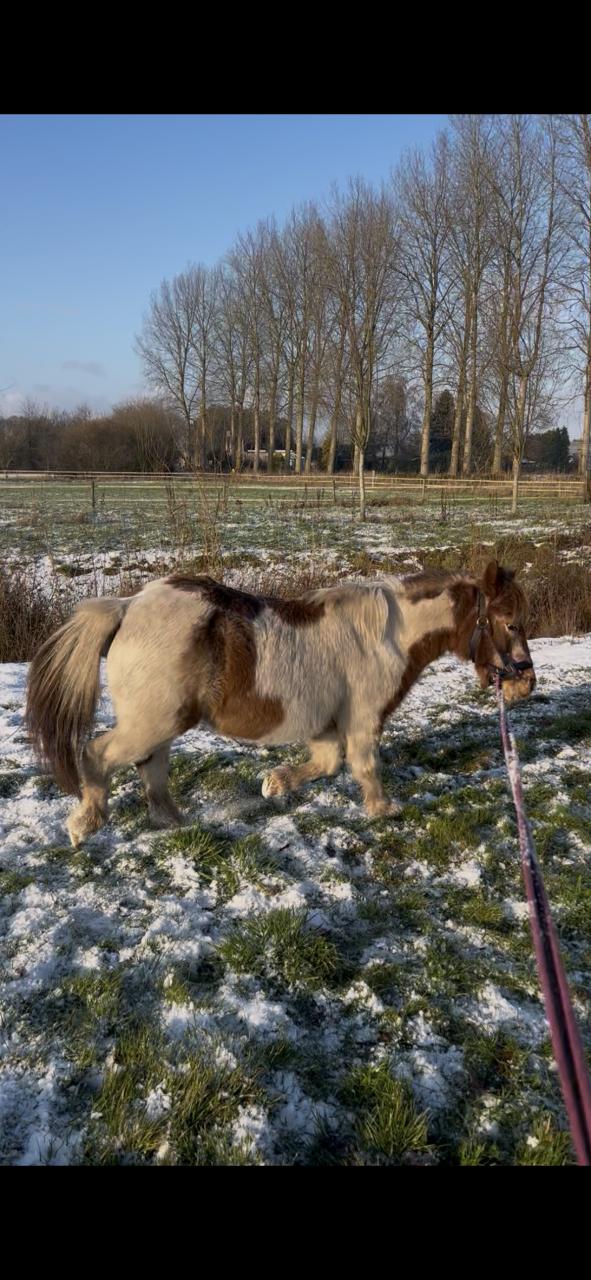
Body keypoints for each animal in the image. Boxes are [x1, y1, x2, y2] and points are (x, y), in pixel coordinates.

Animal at [25, 559, 535, 846]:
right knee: (96, 754)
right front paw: (383, 810)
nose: (526, 684)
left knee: (151, 768)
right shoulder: (363, 720)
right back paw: (85, 823)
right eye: (511, 623)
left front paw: (274, 784)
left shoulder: (327, 728)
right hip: (150, 723)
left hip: (163, 723)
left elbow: (327, 765)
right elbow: (365, 766)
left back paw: (172, 821)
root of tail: (127, 606)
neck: (387, 635)